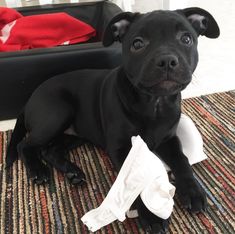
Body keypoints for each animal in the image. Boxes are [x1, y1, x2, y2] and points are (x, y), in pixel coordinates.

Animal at [7, 7, 219, 234]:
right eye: (137, 44)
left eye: (186, 39)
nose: (167, 61)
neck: (154, 103)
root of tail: (30, 100)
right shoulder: (121, 148)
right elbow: (134, 180)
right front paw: (151, 215)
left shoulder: (169, 139)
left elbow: (182, 160)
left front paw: (193, 191)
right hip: (57, 113)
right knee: (25, 145)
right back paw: (37, 170)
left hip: (77, 133)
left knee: (50, 150)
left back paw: (73, 172)